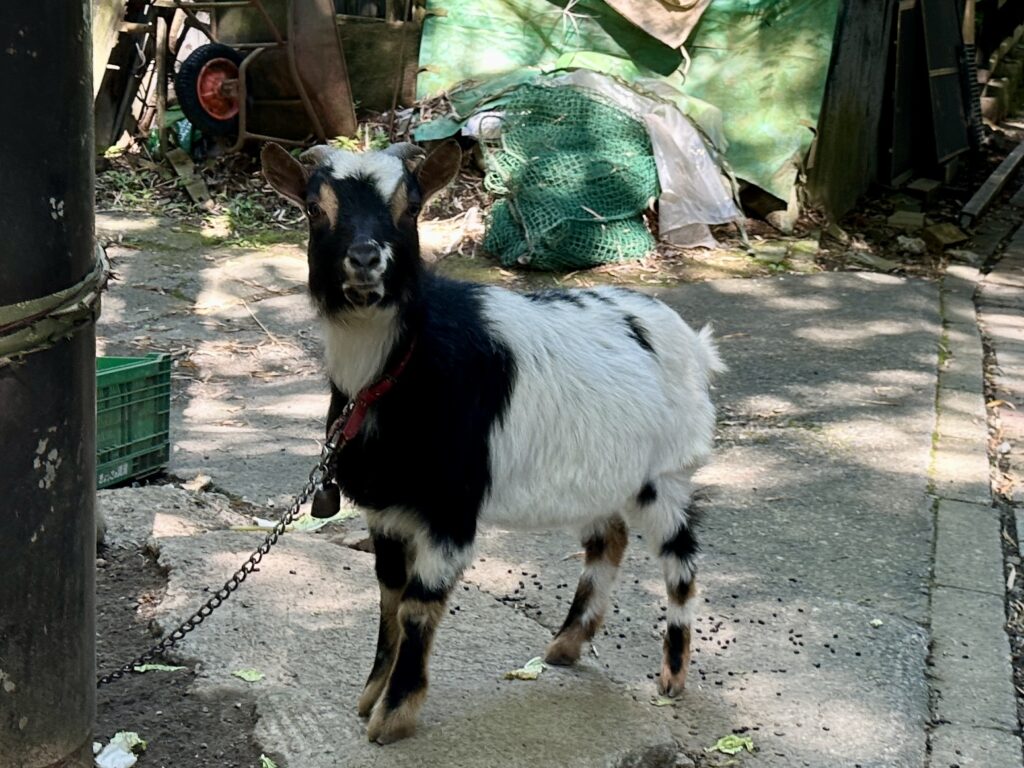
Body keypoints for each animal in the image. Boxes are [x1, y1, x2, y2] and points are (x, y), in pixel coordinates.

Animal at [260, 140, 724, 745]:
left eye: (411, 206)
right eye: (315, 209)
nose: (365, 258)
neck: (396, 371)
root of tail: (692, 340)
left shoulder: (451, 509)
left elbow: (418, 605)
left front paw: (394, 717)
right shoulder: (387, 510)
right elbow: (388, 596)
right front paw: (370, 694)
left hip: (663, 474)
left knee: (681, 557)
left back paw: (671, 676)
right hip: (599, 474)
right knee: (610, 539)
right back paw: (565, 645)